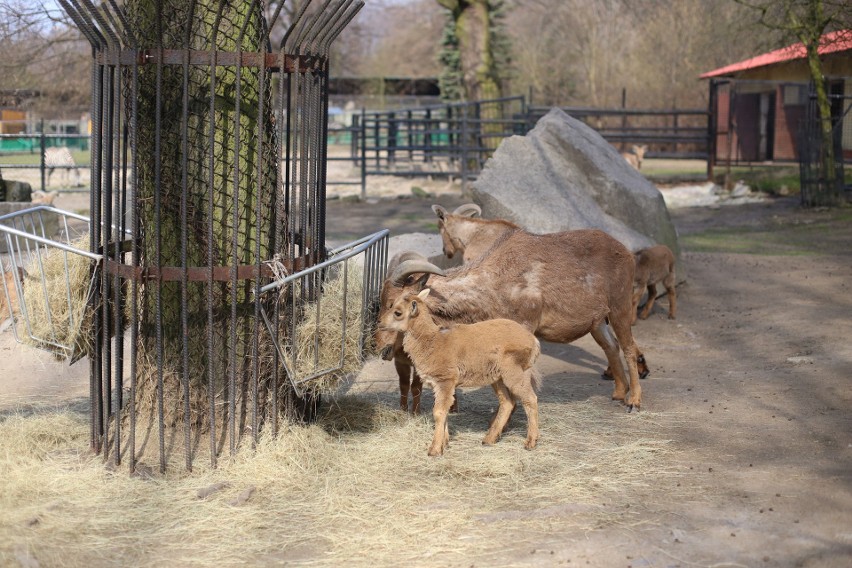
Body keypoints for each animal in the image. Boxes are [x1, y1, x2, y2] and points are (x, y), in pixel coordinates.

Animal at [380, 224, 644, 410]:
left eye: (395, 306)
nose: (382, 348)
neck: (493, 281)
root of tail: (627, 252)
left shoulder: (525, 326)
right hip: (597, 321)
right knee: (611, 346)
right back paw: (618, 393)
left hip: (620, 306)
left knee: (629, 348)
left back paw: (633, 400)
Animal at [380, 288, 540, 458]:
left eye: (397, 312)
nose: (380, 323)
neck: (433, 341)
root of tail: (534, 341)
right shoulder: (440, 385)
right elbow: (444, 411)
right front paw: (444, 443)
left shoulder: (445, 380)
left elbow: (438, 412)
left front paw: (434, 450)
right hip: (498, 378)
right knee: (507, 402)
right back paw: (489, 439)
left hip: (516, 373)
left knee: (530, 399)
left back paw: (530, 442)